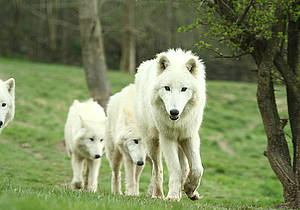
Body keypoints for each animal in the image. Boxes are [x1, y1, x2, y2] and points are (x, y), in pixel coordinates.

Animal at [134, 48, 206, 201]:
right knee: (157, 169)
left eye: (184, 89)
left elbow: (197, 168)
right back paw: (158, 194)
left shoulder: (189, 135)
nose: (174, 112)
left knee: (186, 167)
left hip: (180, 142)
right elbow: (175, 169)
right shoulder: (167, 138)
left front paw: (189, 189)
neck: (177, 122)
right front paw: (172, 196)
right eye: (167, 88)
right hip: (152, 142)